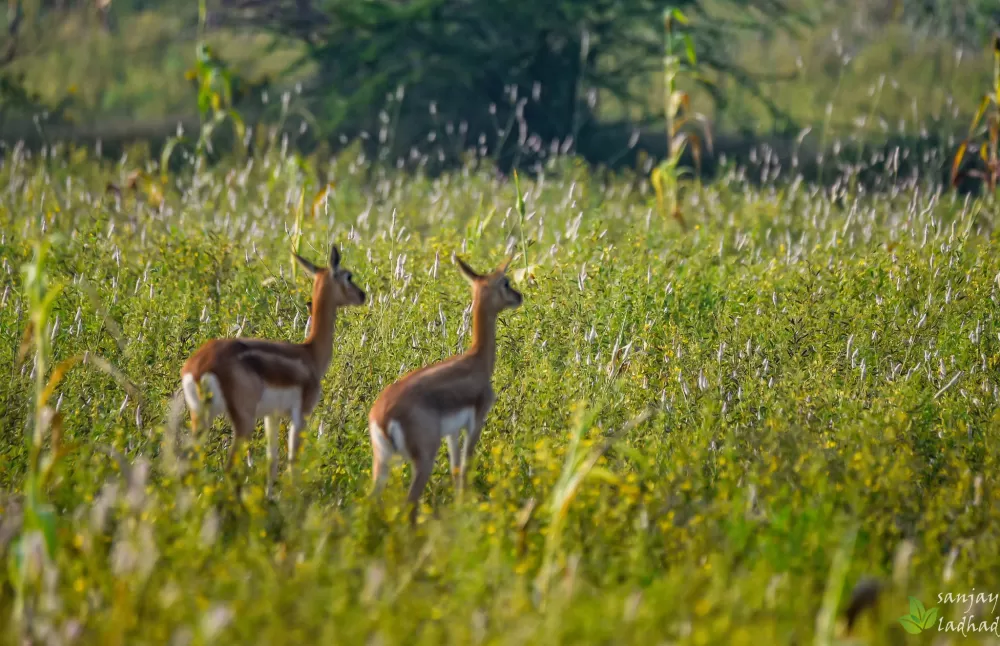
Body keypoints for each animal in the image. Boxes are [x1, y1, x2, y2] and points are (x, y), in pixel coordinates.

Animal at [182, 247, 366, 496]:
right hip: (243, 420)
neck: (310, 354)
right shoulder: (301, 414)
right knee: (229, 467)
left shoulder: (272, 415)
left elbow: (272, 461)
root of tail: (199, 365)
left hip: (200, 416)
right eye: (348, 276)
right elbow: (292, 461)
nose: (362, 295)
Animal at [368, 256, 524, 524]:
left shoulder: (452, 431)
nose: (519, 296)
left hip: (383, 462)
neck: (476, 360)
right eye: (505, 282)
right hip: (423, 460)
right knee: (410, 504)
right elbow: (466, 467)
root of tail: (382, 416)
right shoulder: (476, 422)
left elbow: (455, 469)